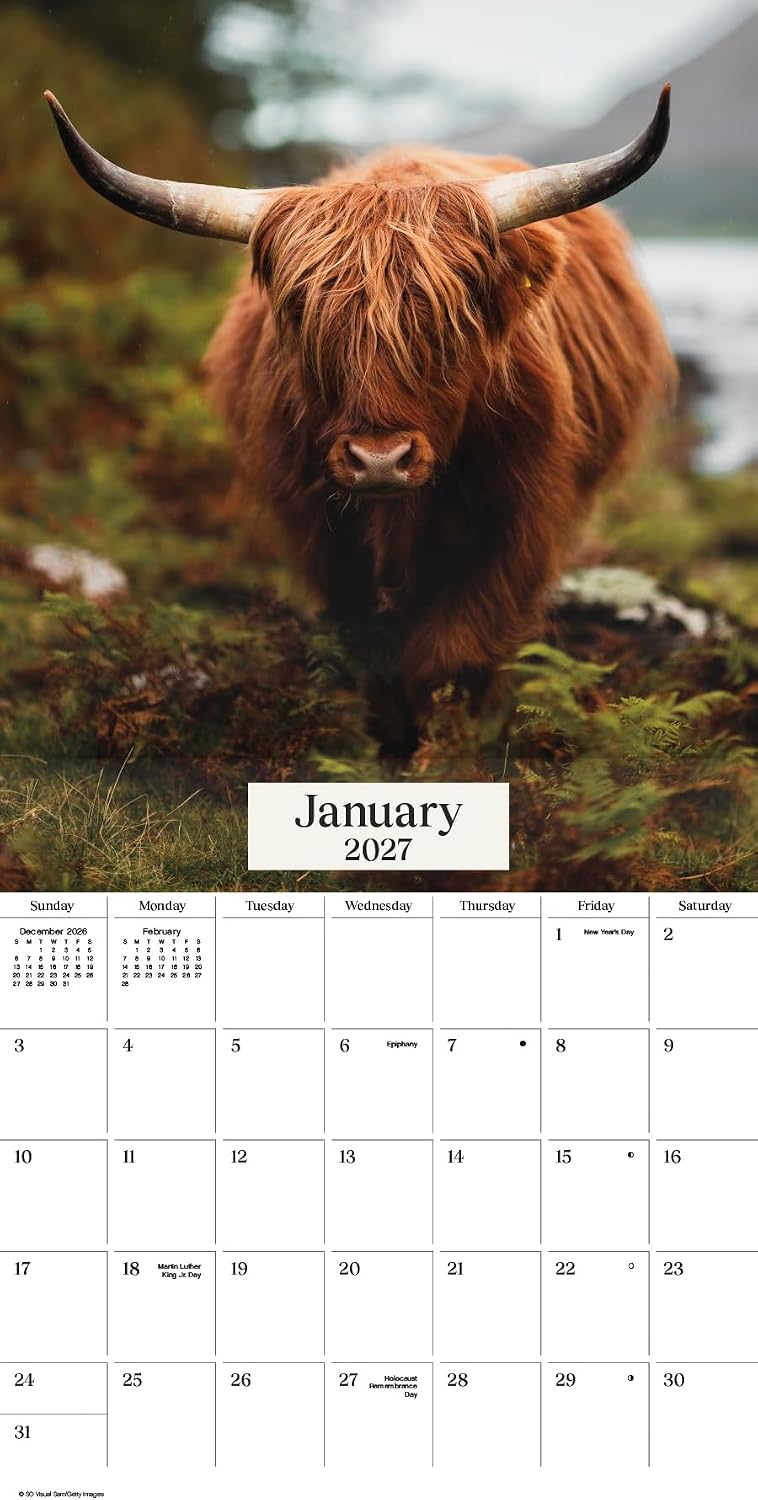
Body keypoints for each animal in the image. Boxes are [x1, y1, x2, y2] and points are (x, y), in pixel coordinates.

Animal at [45, 87, 675, 750]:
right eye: (306, 314)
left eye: (450, 318)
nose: (379, 461)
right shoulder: (318, 526)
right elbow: (367, 645)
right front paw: (388, 738)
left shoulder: (517, 522)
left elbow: (455, 649)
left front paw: (448, 745)